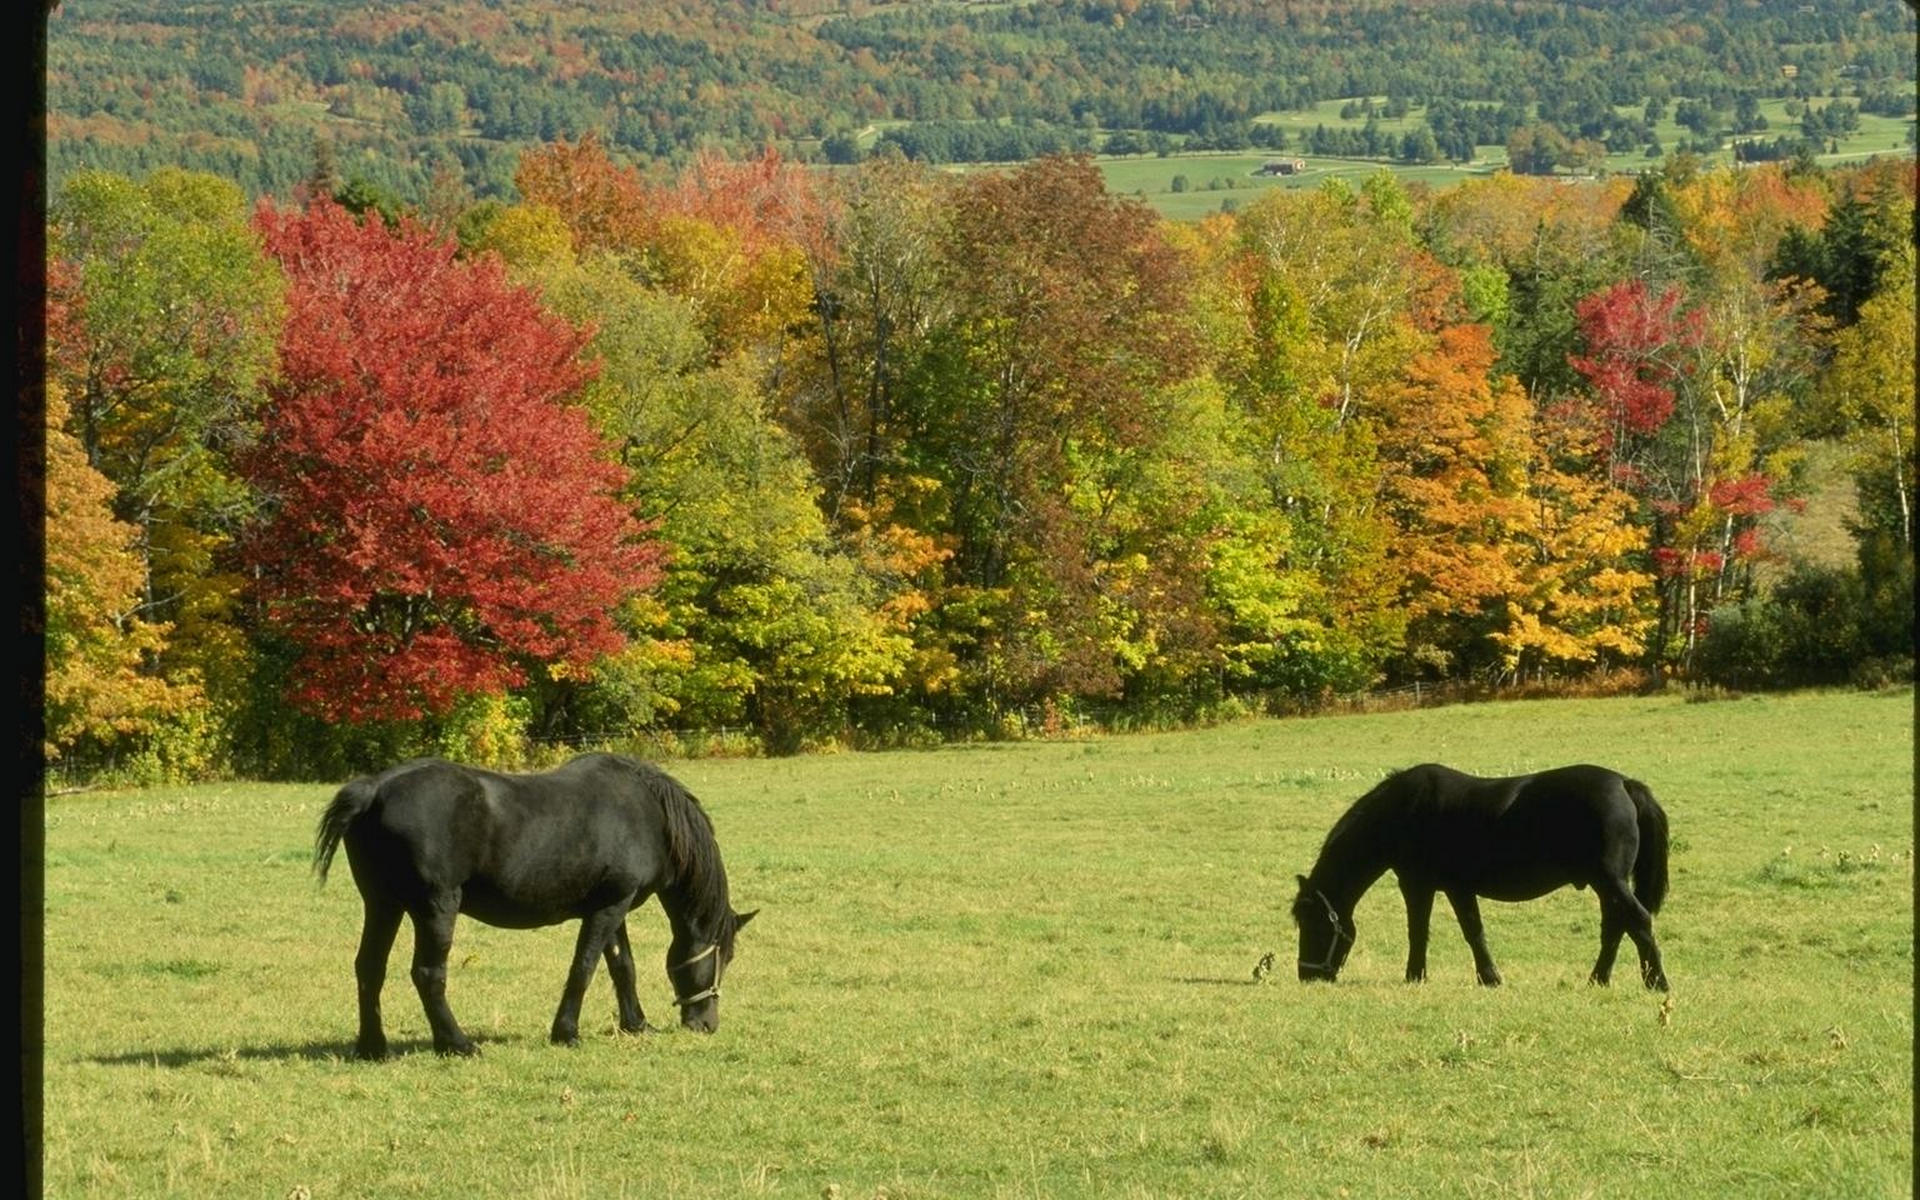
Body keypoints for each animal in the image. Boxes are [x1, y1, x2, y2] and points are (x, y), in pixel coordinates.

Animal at [311, 752, 752, 1052]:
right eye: (725, 956)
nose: (706, 1024)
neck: (648, 813)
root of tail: (375, 790)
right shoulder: (609, 907)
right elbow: (584, 967)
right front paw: (566, 1032)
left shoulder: (613, 906)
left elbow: (622, 967)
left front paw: (636, 1024)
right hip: (436, 907)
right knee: (427, 974)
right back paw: (457, 1043)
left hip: (383, 905)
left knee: (370, 968)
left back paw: (373, 1046)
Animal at [1297, 764, 1674, 990]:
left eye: (1313, 923)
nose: (1306, 974)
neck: (1403, 812)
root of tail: (1624, 784)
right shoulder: (1451, 888)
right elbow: (1465, 931)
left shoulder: (1422, 885)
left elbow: (1431, 932)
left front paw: (1419, 976)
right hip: (1606, 884)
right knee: (1616, 927)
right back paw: (1598, 979)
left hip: (1610, 881)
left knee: (1638, 921)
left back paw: (1657, 983)